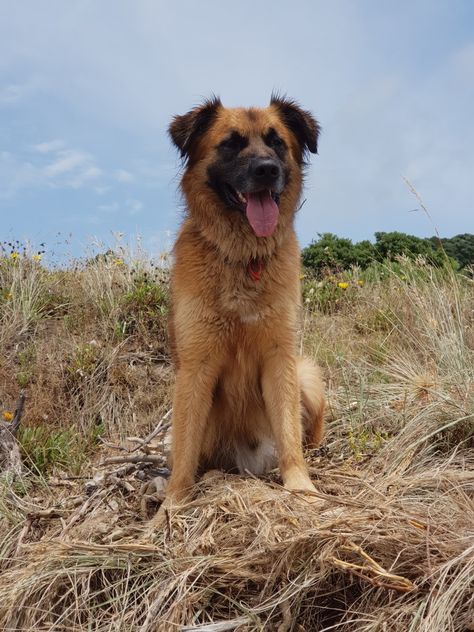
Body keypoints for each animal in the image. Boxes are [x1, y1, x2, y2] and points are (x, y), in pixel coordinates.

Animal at [164, 95, 326, 508]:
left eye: (276, 142)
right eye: (231, 144)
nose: (267, 171)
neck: (243, 257)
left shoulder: (279, 357)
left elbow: (289, 434)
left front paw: (301, 487)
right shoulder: (196, 367)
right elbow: (184, 453)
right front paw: (171, 506)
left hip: (307, 375)